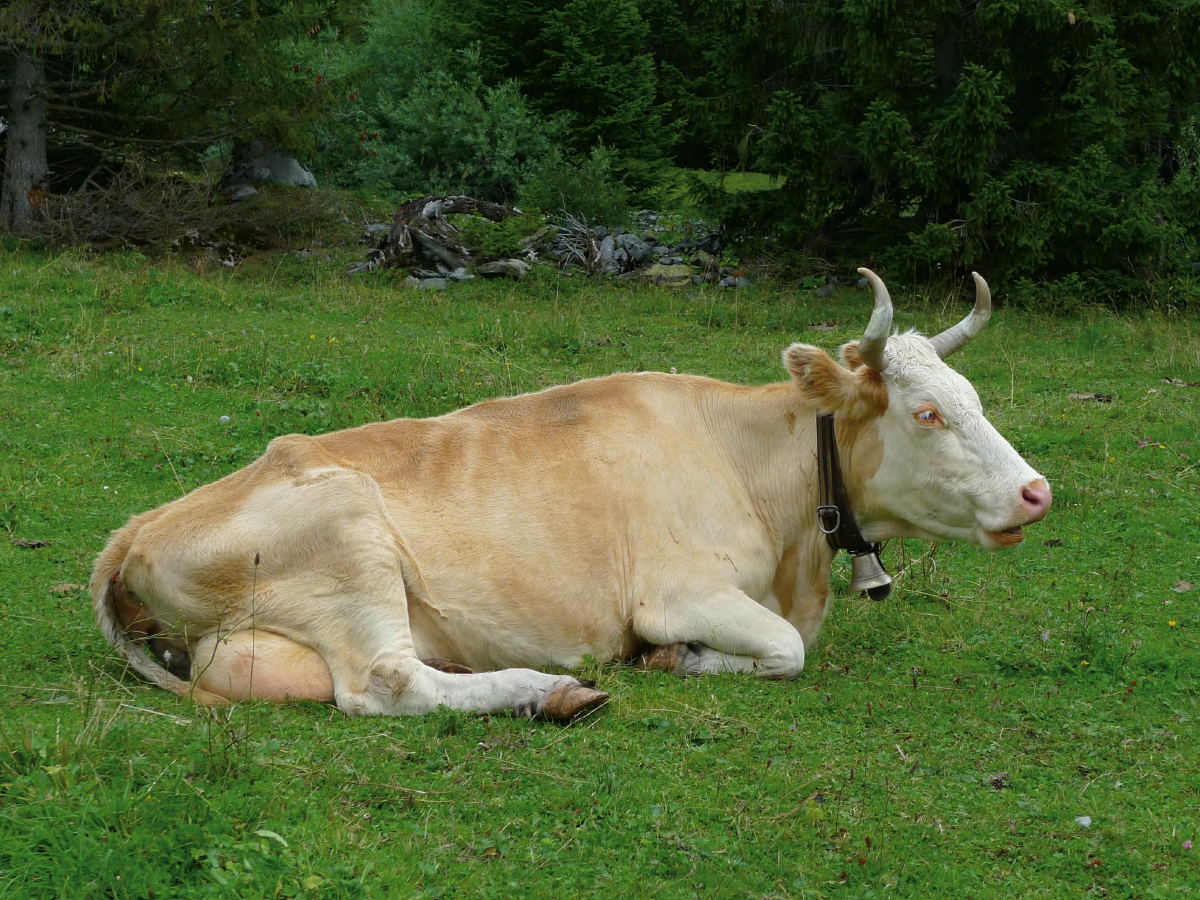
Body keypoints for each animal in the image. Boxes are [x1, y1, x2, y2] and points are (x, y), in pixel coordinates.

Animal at [91, 267, 1051, 720]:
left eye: (972, 397)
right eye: (927, 413)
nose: (1038, 493)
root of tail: (135, 528)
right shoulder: (677, 591)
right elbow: (784, 650)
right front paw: (678, 660)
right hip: (350, 532)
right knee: (388, 685)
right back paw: (549, 690)